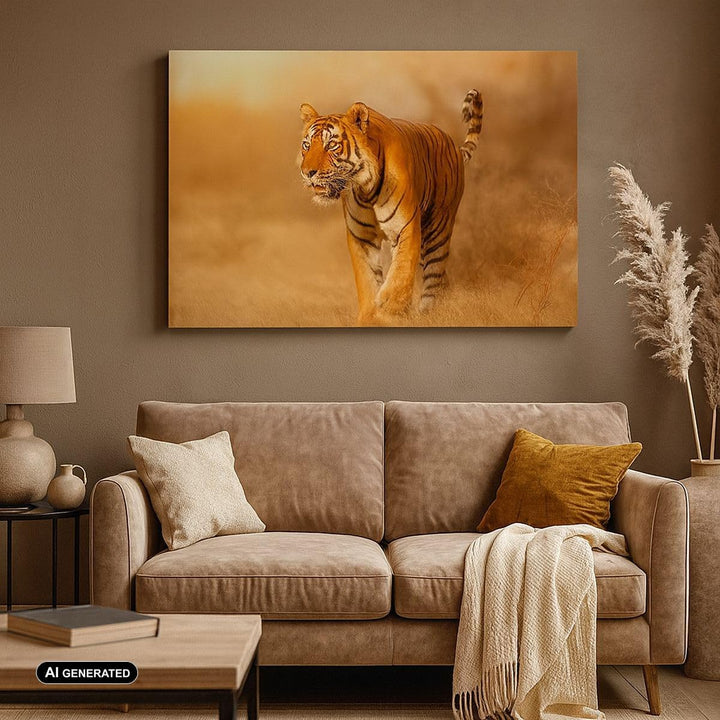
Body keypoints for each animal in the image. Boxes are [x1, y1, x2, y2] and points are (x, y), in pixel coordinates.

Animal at [298, 89, 483, 325]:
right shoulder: (361, 237)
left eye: (331, 145)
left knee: (434, 276)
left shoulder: (405, 227)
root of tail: (455, 146)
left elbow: (401, 271)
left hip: (438, 230)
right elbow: (366, 280)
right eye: (306, 145)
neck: (365, 189)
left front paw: (390, 308)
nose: (307, 172)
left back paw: (430, 314)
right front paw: (370, 317)